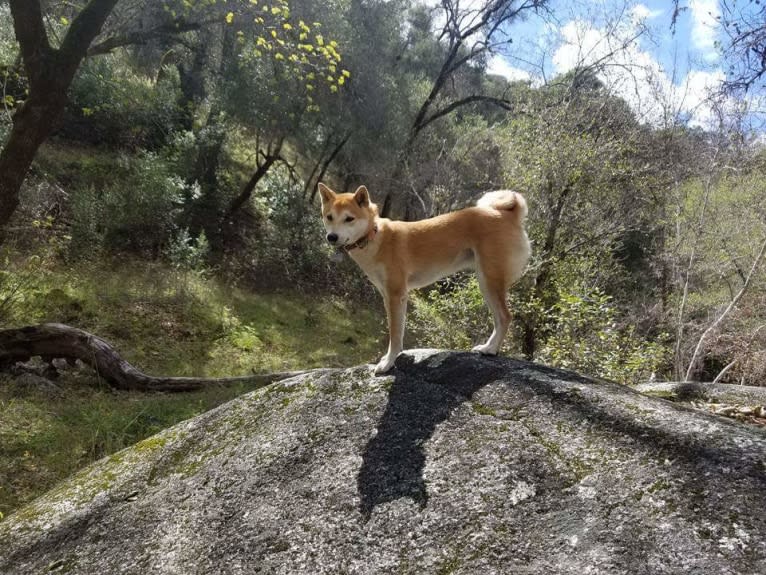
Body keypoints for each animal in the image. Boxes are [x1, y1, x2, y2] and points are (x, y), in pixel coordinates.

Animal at [320, 182, 532, 376]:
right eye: (329, 217)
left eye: (349, 219)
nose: (332, 237)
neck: (374, 237)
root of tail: (507, 214)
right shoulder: (389, 296)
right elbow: (398, 332)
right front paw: (390, 358)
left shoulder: (396, 295)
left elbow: (394, 335)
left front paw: (388, 362)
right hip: (486, 283)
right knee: (500, 319)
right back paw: (488, 347)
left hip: (489, 280)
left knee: (505, 317)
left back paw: (491, 349)